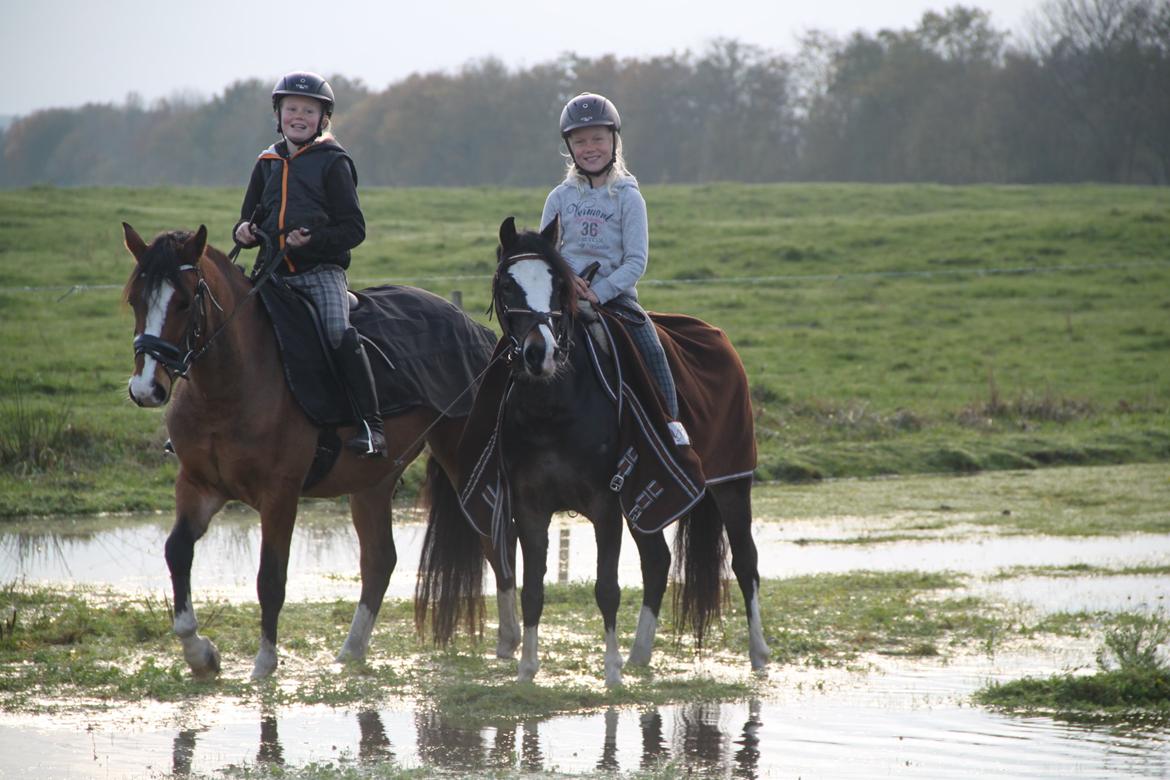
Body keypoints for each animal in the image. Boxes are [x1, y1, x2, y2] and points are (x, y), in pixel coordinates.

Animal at [122, 223, 488, 680]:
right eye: (135, 299)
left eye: (185, 302)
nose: (146, 389)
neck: (228, 386)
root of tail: (474, 329)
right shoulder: (199, 486)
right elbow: (177, 552)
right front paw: (201, 654)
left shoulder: (280, 496)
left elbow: (270, 578)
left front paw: (263, 666)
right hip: (374, 481)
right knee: (379, 560)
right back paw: (350, 653)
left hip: (468, 465)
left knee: (495, 540)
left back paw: (512, 646)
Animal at [419, 217, 770, 687]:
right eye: (507, 285)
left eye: (559, 285)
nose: (540, 353)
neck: (555, 407)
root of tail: (716, 336)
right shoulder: (530, 506)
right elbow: (532, 589)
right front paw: (527, 671)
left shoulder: (605, 504)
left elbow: (607, 588)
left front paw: (611, 673)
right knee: (658, 561)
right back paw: (640, 654)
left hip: (731, 483)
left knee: (745, 562)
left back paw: (758, 653)